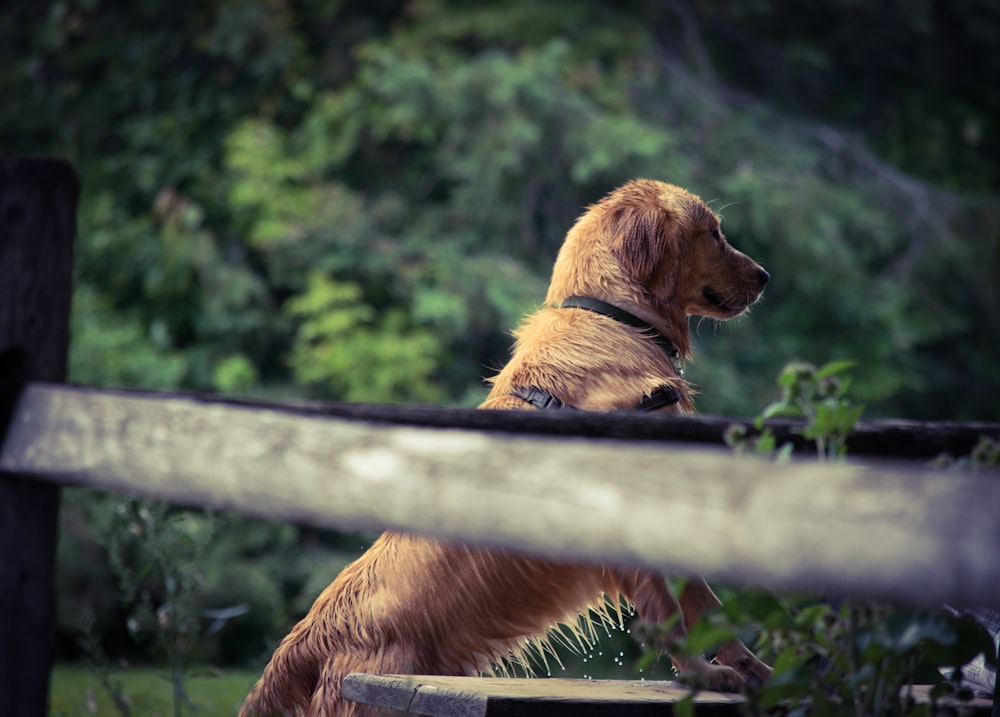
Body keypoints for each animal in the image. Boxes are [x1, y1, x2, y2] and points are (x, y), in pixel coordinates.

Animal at [242, 176, 772, 712]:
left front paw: (759, 672)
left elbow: (707, 607)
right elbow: (671, 614)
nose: (766, 276)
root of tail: (311, 638)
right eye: (713, 233)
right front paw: (704, 676)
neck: (617, 319)